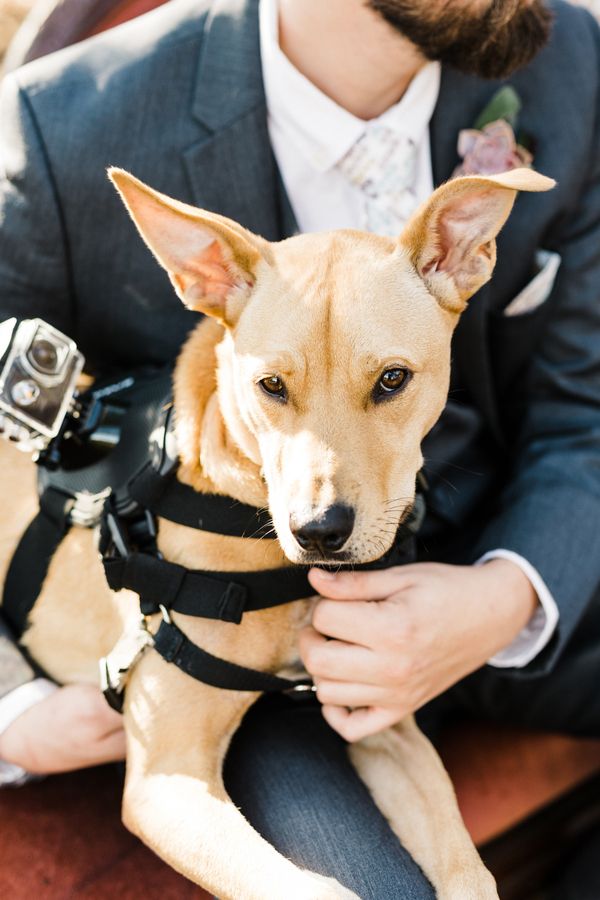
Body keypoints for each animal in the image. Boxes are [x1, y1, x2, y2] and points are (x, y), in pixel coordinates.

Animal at [0, 165, 552, 896]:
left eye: (393, 379)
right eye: (270, 386)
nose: (320, 530)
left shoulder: (384, 723)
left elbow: (469, 869)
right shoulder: (167, 776)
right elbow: (313, 886)